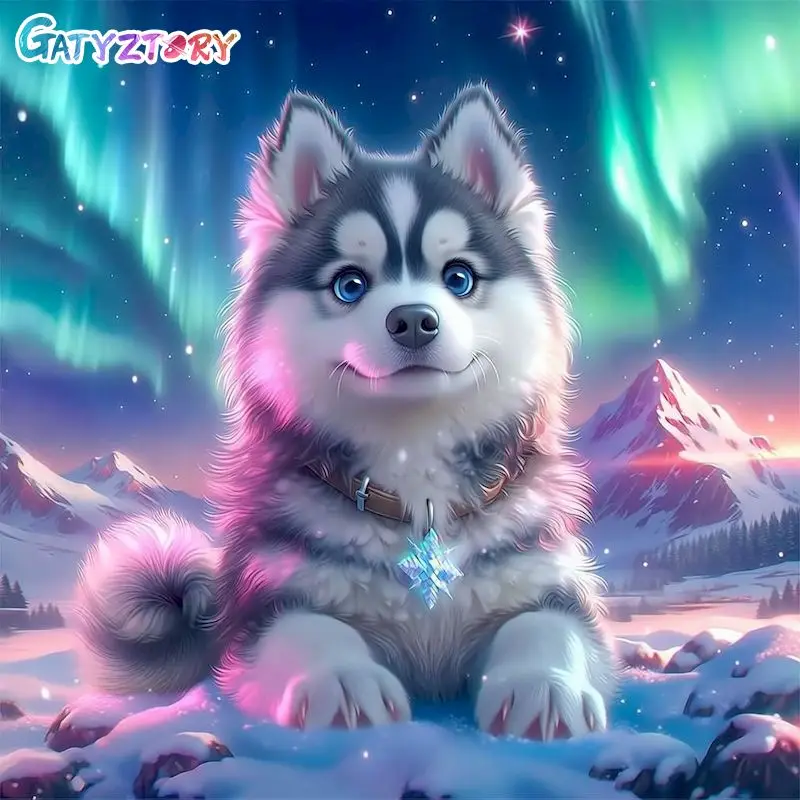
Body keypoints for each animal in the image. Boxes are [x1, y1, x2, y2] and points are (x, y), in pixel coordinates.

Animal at [74, 84, 616, 739]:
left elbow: (546, 627)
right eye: (350, 285)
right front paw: (344, 682)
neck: (416, 492)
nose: (414, 320)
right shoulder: (270, 597)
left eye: (459, 277)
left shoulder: (545, 578)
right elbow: (311, 629)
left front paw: (544, 688)